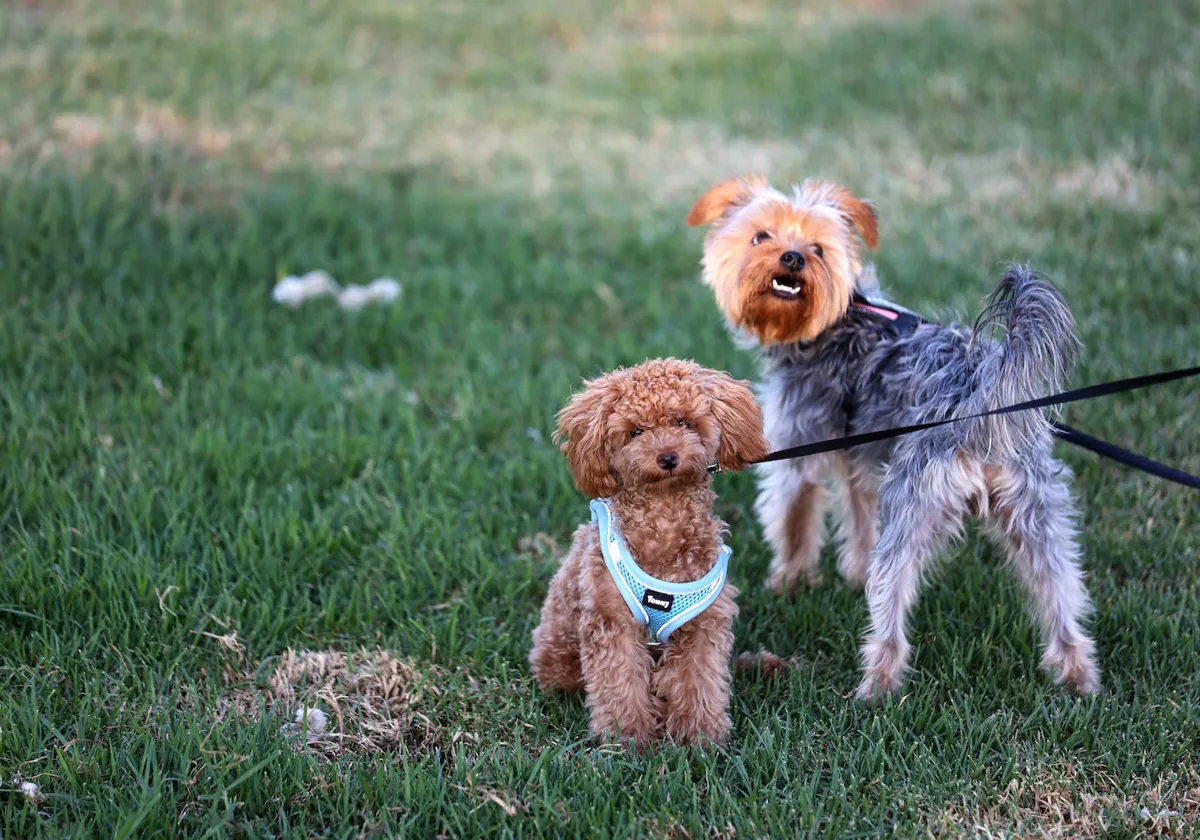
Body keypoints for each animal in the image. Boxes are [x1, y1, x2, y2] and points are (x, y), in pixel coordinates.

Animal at [528, 357, 768, 744]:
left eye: (683, 422)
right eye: (636, 432)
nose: (668, 457)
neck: (664, 517)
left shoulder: (705, 622)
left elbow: (699, 679)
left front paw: (700, 737)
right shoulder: (612, 621)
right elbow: (620, 682)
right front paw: (629, 739)